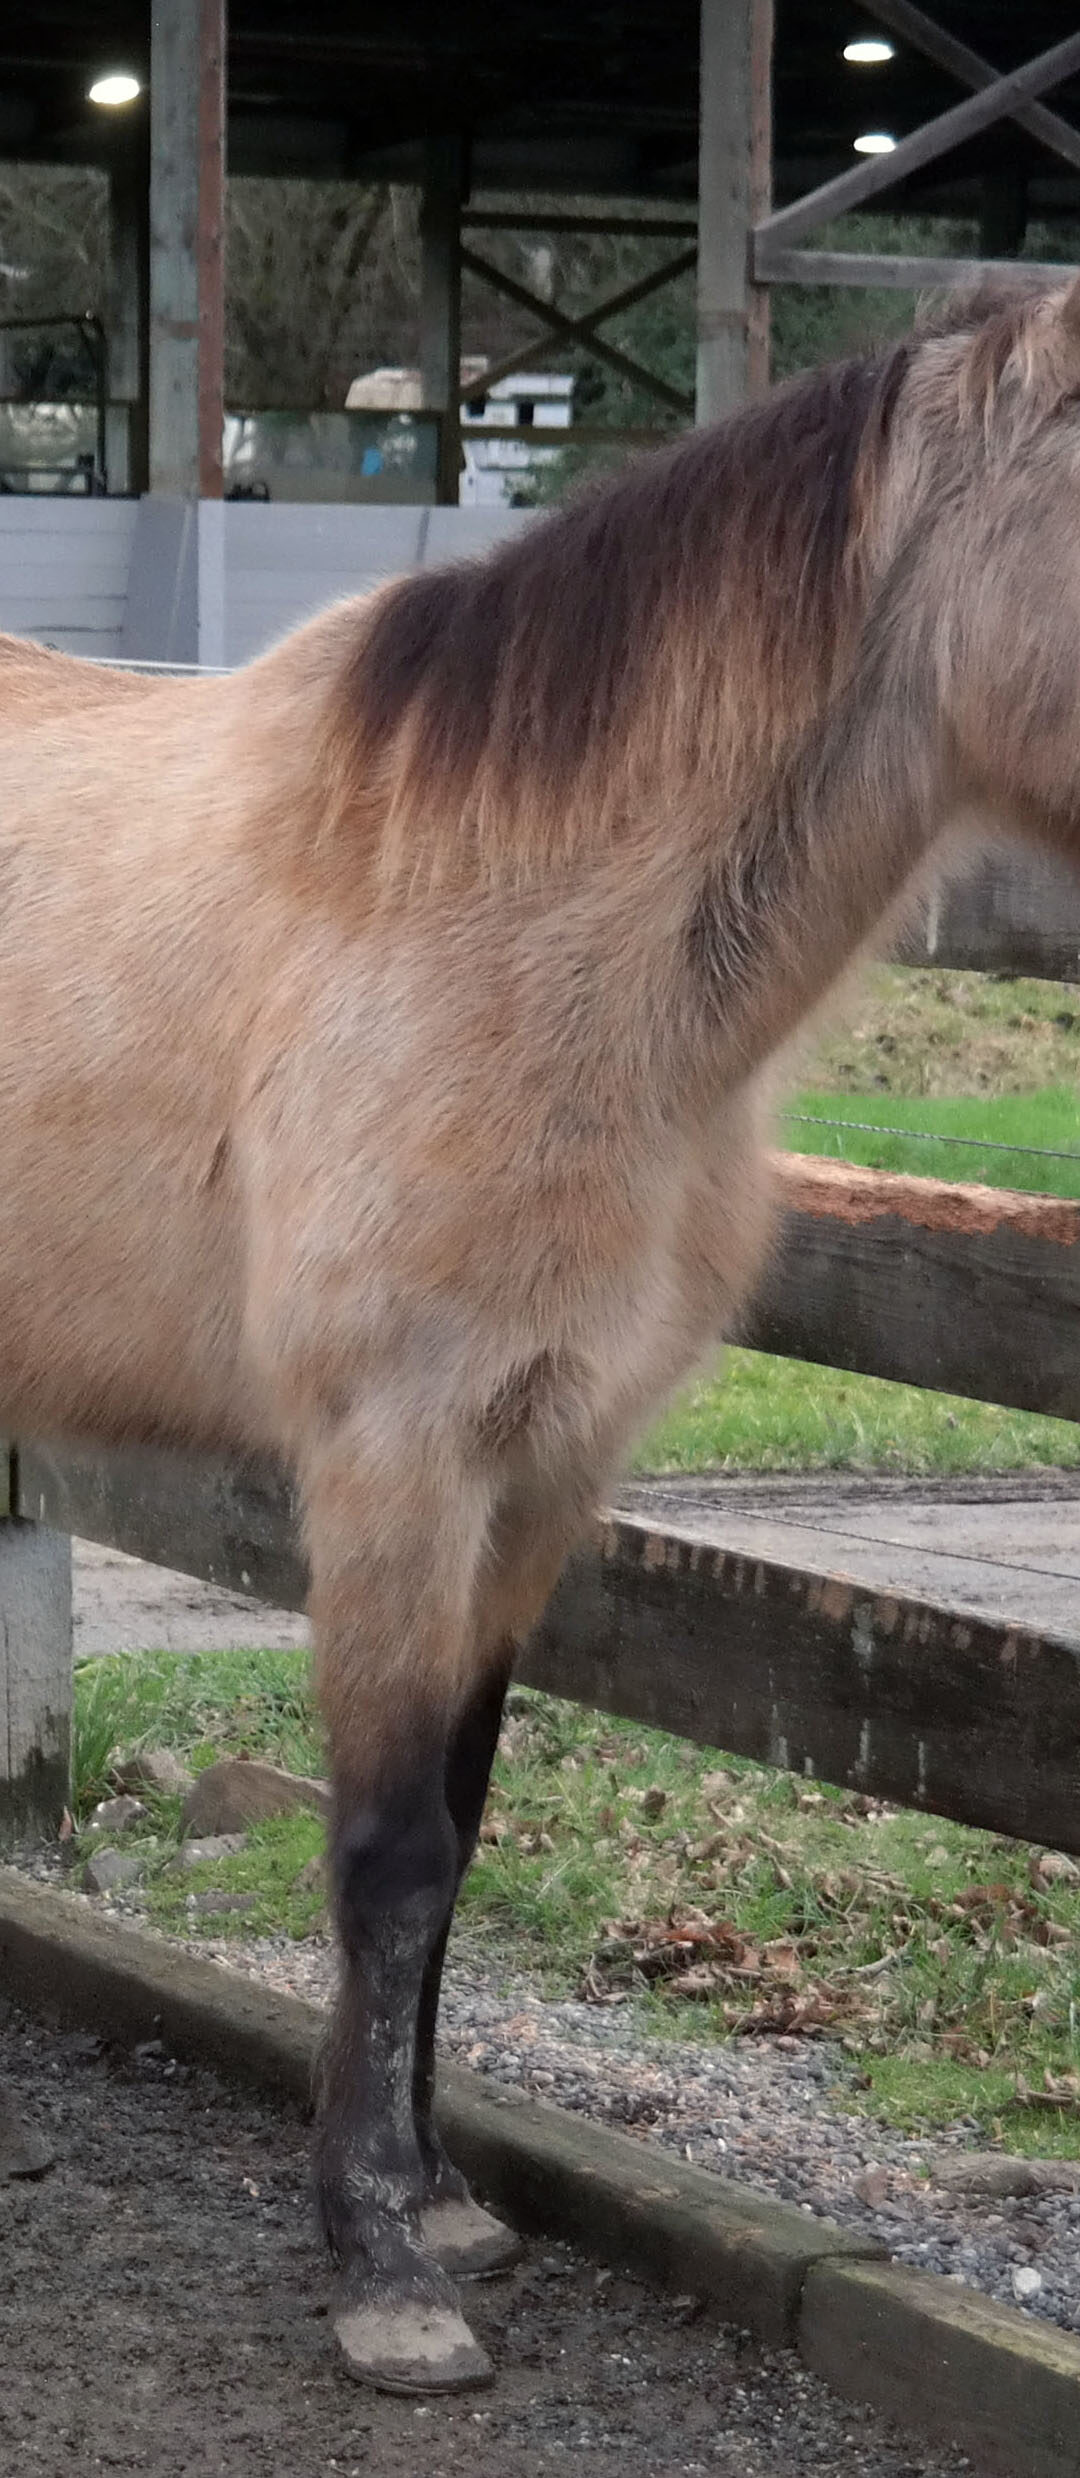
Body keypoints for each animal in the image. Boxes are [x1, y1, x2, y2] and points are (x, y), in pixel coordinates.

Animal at [2, 270, 1080, 2394]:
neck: (507, 917)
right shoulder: (394, 1456)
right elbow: (384, 1851)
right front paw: (378, 2272)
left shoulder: (547, 1464)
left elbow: (461, 1822)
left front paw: (432, 2200)